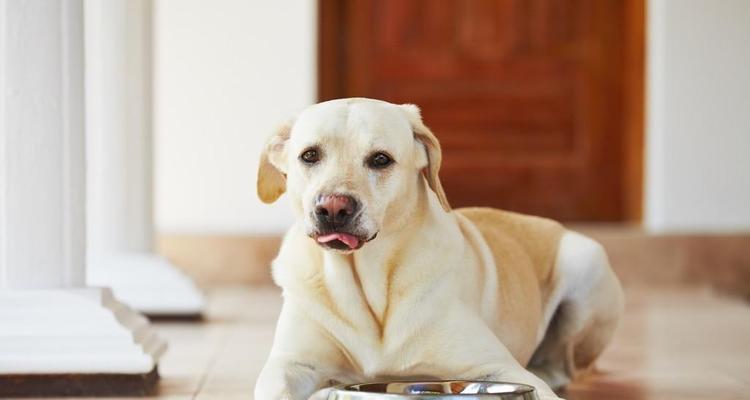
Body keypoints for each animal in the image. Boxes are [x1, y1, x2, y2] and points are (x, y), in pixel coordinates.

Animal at [256, 97, 624, 400]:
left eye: (380, 159)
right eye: (310, 155)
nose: (333, 207)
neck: (368, 283)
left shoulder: (499, 367)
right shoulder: (289, 365)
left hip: (585, 263)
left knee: (562, 367)